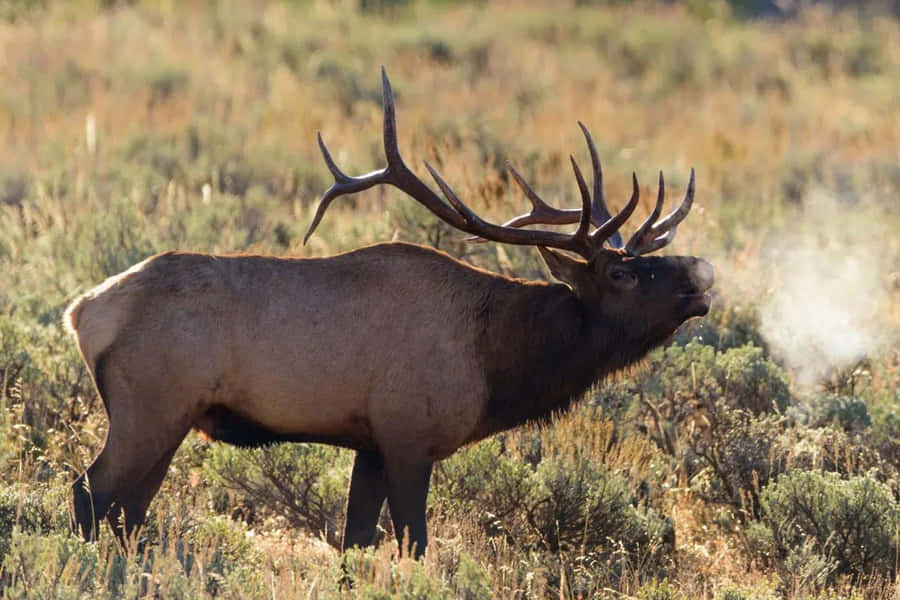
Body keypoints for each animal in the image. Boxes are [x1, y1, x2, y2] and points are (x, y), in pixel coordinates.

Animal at [66, 68, 713, 559]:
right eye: (621, 273)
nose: (703, 276)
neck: (496, 364)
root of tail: (83, 311)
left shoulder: (370, 443)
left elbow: (356, 541)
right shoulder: (408, 435)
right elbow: (415, 544)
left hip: (171, 418)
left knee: (128, 512)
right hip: (149, 406)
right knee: (89, 493)